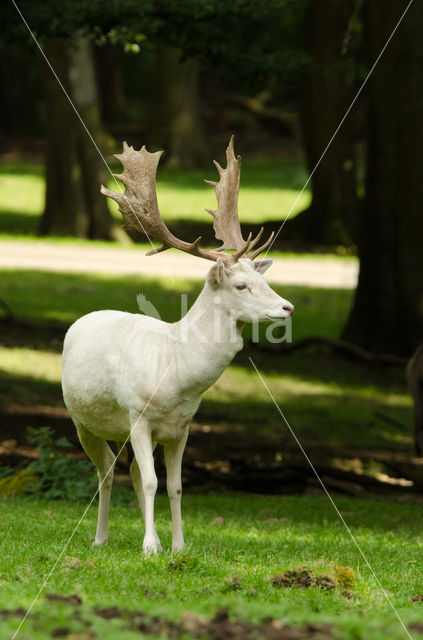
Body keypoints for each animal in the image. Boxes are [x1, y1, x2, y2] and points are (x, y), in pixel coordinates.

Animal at [62, 138, 294, 552]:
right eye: (241, 285)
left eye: (263, 279)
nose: (287, 307)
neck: (175, 376)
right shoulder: (137, 416)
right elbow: (152, 482)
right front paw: (150, 547)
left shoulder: (181, 428)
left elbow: (175, 486)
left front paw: (177, 546)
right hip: (82, 420)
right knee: (106, 472)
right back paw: (100, 537)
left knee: (131, 471)